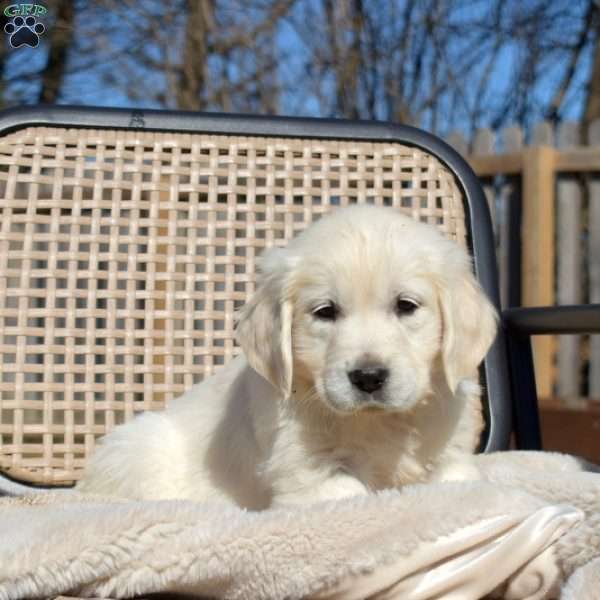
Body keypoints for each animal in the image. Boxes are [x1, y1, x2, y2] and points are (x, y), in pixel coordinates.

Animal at [76, 205, 496, 506]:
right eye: (325, 311)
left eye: (406, 305)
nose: (368, 377)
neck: (376, 423)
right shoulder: (305, 472)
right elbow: (350, 492)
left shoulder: (452, 455)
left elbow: (459, 479)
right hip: (138, 449)